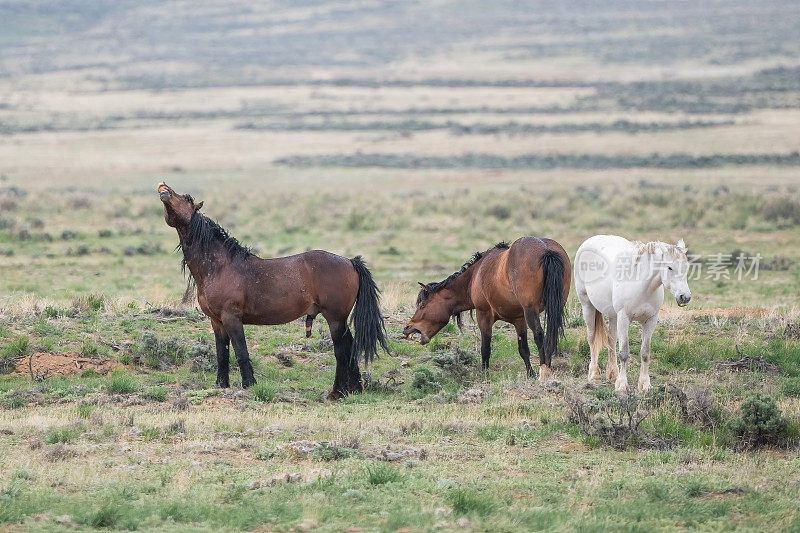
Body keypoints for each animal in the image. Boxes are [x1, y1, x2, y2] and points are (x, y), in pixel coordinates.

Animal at [159, 181, 388, 396]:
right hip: (339, 320)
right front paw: (221, 385)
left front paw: (249, 385)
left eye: (187, 198)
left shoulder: (232, 318)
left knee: (341, 351)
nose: (163, 188)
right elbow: (222, 355)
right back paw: (355, 388)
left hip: (335, 318)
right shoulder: (217, 322)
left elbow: (241, 352)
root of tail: (350, 262)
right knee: (350, 348)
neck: (219, 266)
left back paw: (336, 393)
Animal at [406, 236, 568, 378]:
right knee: (551, 335)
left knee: (539, 335)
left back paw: (544, 370)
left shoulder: (484, 315)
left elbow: (485, 348)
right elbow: (523, 349)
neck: (475, 276)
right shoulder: (519, 319)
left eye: (422, 305)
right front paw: (530, 374)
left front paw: (484, 373)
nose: (407, 328)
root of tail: (546, 250)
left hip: (531, 311)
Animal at [572, 236, 692, 390]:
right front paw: (622, 385)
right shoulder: (624, 319)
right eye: (670, 267)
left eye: (686, 267)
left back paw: (613, 375)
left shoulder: (650, 321)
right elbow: (624, 353)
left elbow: (645, 353)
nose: (685, 297)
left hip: (613, 315)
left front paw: (645, 385)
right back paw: (594, 375)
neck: (641, 286)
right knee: (592, 339)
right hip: (587, 306)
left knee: (611, 341)